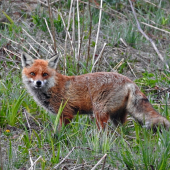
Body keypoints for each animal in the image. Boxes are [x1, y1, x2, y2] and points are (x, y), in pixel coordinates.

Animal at [21, 52, 170, 129]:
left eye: (45, 74)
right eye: (33, 73)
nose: (38, 83)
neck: (52, 87)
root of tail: (129, 81)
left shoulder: (67, 113)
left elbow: (60, 132)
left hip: (100, 113)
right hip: (117, 116)